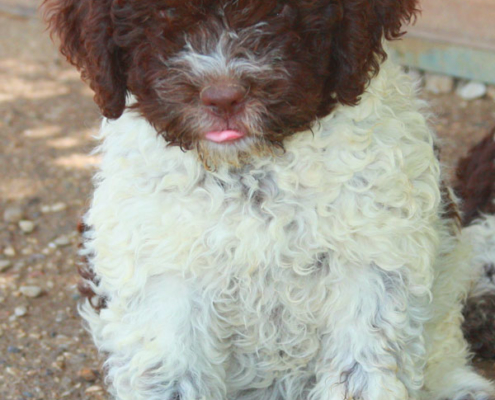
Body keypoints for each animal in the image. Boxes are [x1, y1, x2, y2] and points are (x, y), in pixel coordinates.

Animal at [43, 0, 495, 400]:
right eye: (164, 12)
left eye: (280, 10)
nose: (223, 97)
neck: (251, 171)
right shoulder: (163, 268)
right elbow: (169, 369)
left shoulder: (372, 260)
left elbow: (363, 369)